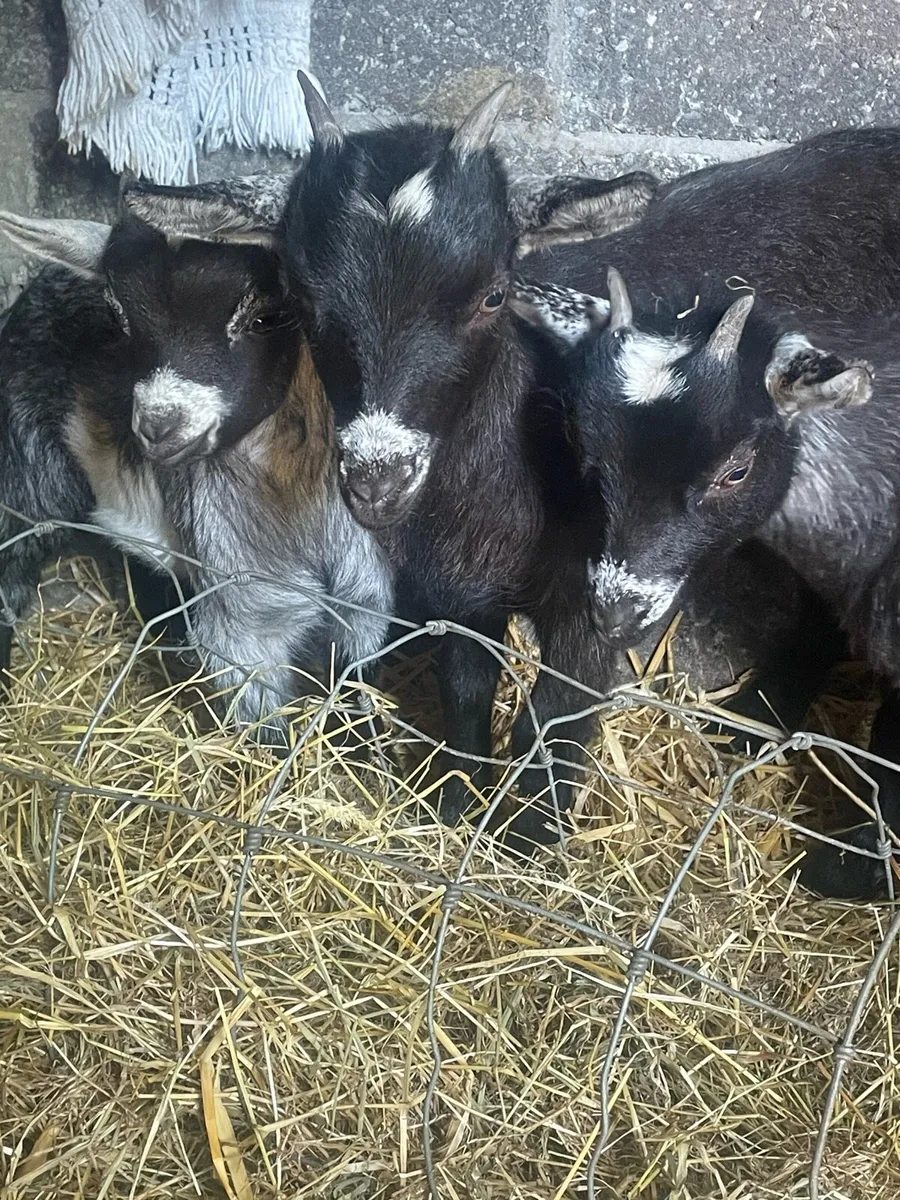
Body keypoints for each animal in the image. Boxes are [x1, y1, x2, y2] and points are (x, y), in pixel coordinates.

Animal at [0, 204, 392, 739]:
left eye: (267, 316)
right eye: (119, 319)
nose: (157, 425)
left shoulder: (365, 605)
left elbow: (358, 698)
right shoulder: (244, 625)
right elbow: (261, 733)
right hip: (29, 476)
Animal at [512, 270, 900, 899]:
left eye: (735, 471)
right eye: (586, 454)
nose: (614, 615)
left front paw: (853, 865)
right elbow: (818, 623)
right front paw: (755, 715)